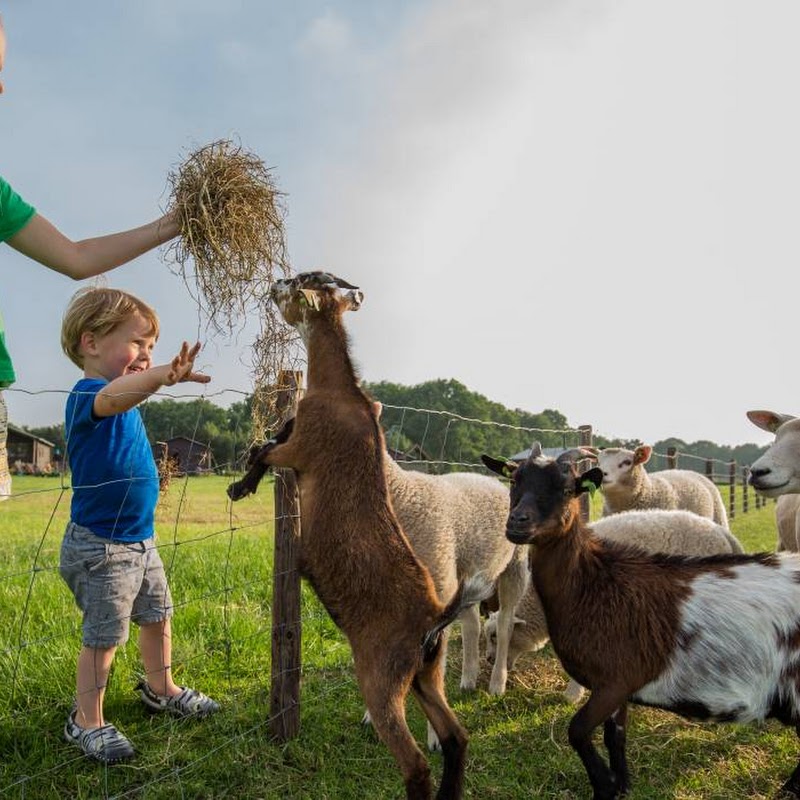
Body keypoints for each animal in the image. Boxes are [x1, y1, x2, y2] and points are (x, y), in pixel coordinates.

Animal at [225, 270, 488, 800]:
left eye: (297, 284)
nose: (273, 283)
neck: (340, 392)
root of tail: (432, 619)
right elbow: (268, 440)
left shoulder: (299, 450)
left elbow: (264, 449)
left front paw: (240, 487)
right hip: (425, 675)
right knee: (457, 737)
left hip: (381, 675)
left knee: (415, 763)